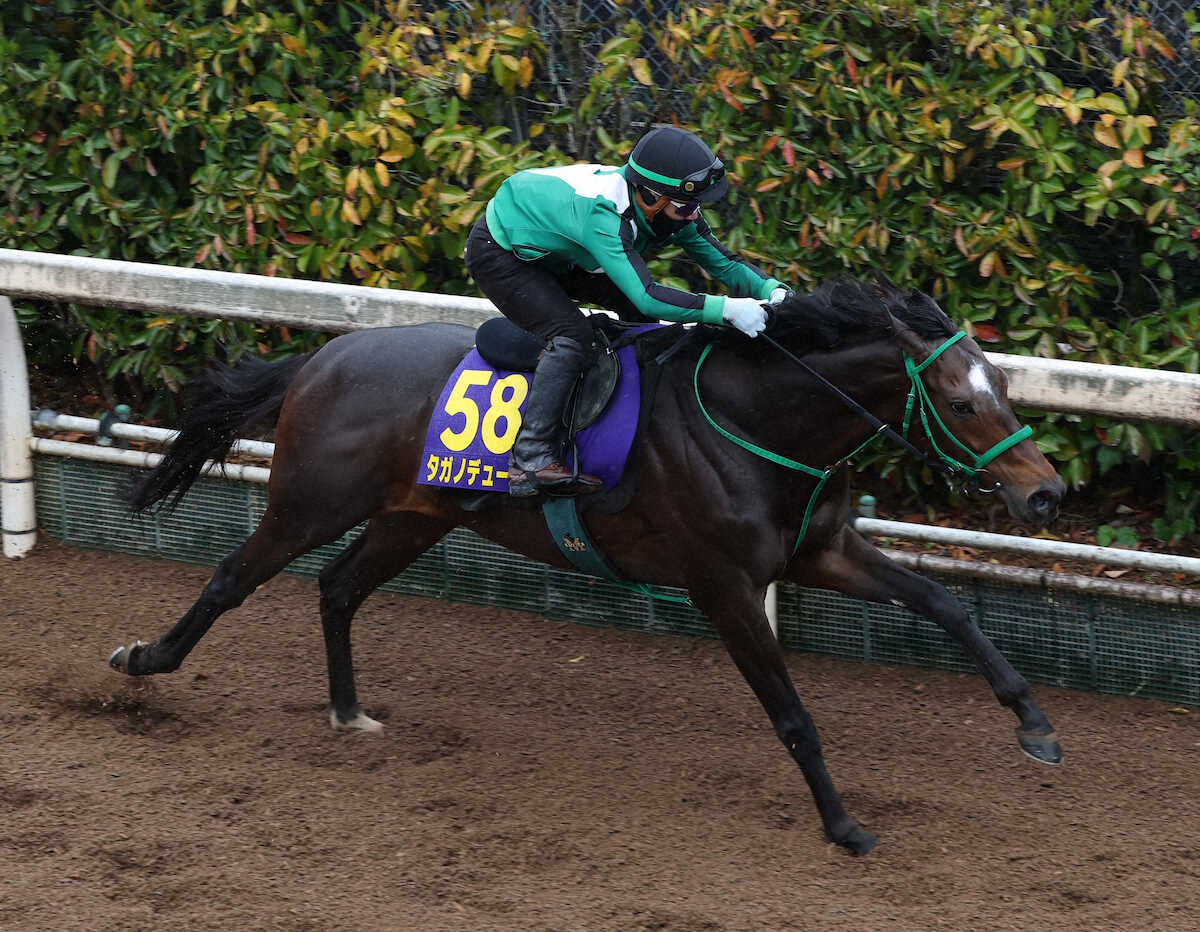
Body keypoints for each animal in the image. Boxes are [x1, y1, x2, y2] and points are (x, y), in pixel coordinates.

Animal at [108, 274, 1066, 855]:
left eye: (1002, 386)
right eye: (959, 403)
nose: (1046, 495)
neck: (755, 419)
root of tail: (323, 354)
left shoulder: (820, 550)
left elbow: (947, 603)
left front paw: (1034, 726)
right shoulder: (722, 586)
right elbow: (793, 715)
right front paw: (842, 824)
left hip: (412, 517)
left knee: (338, 589)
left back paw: (348, 711)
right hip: (310, 503)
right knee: (232, 579)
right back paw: (142, 660)